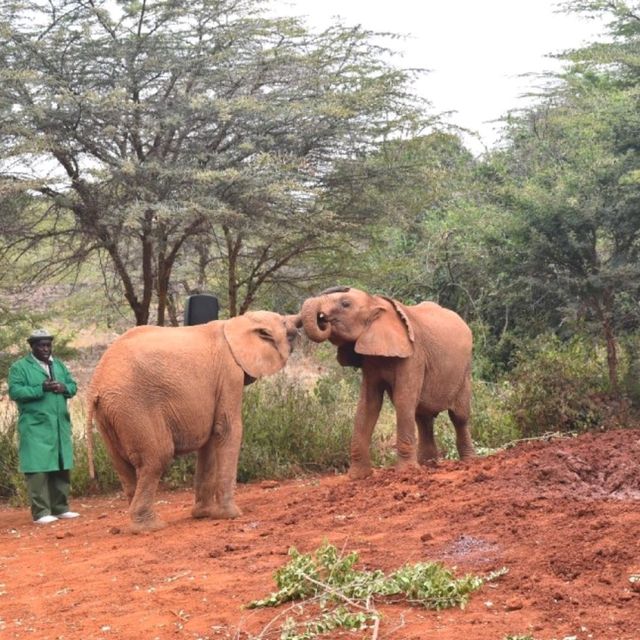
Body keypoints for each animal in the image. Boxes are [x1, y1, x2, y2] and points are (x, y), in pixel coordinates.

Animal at [85, 312, 302, 532]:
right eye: (285, 325)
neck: (235, 323)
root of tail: (96, 385)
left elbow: (210, 440)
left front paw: (204, 514)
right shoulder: (229, 374)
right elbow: (227, 429)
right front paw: (231, 515)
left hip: (111, 415)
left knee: (123, 466)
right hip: (134, 407)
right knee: (156, 458)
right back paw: (151, 527)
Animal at [300, 288, 476, 478]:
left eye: (345, 304)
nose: (322, 319)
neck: (377, 303)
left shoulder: (414, 355)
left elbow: (403, 400)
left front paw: (407, 473)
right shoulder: (370, 360)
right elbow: (368, 404)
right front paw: (357, 477)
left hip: (464, 372)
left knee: (459, 416)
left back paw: (468, 462)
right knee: (423, 416)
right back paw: (428, 465)